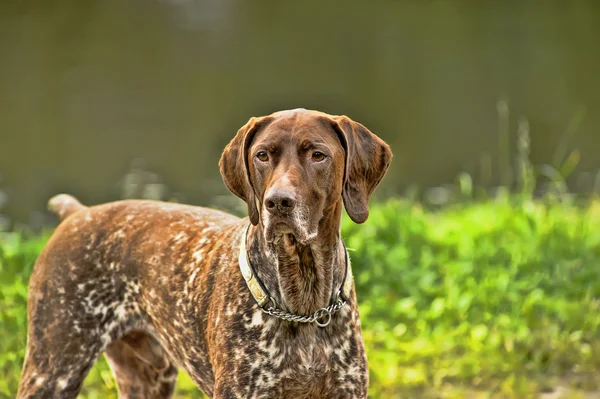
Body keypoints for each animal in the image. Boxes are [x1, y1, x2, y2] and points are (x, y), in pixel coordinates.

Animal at [16, 108, 392, 399]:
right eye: (262, 155)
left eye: (318, 155)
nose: (278, 202)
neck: (304, 302)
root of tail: (77, 214)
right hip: (53, 370)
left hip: (149, 376)